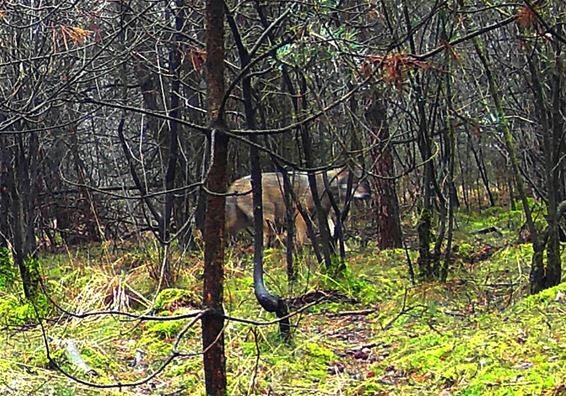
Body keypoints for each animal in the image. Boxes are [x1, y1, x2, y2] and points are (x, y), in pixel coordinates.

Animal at [226, 168, 372, 248]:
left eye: (364, 183)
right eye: (355, 183)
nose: (368, 195)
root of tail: (235, 183)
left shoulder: (325, 215)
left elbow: (334, 230)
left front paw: (346, 249)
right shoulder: (301, 212)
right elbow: (302, 236)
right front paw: (307, 245)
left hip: (242, 223)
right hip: (268, 218)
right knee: (268, 237)